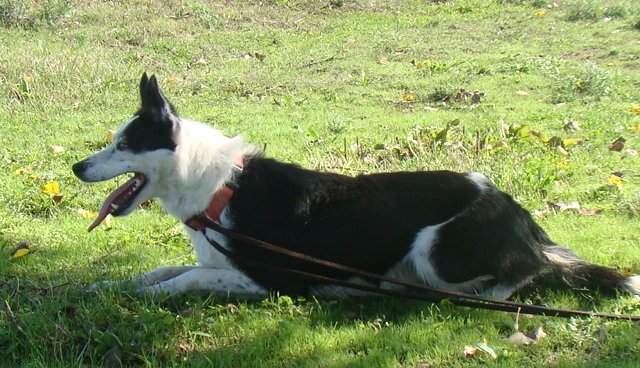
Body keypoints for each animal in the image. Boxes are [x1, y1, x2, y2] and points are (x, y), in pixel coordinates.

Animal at [74, 73, 640, 300]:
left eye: (123, 145)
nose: (78, 167)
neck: (217, 186)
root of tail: (520, 215)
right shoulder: (218, 263)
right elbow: (160, 270)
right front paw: (107, 286)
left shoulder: (270, 281)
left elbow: (185, 278)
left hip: (438, 251)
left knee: (527, 273)